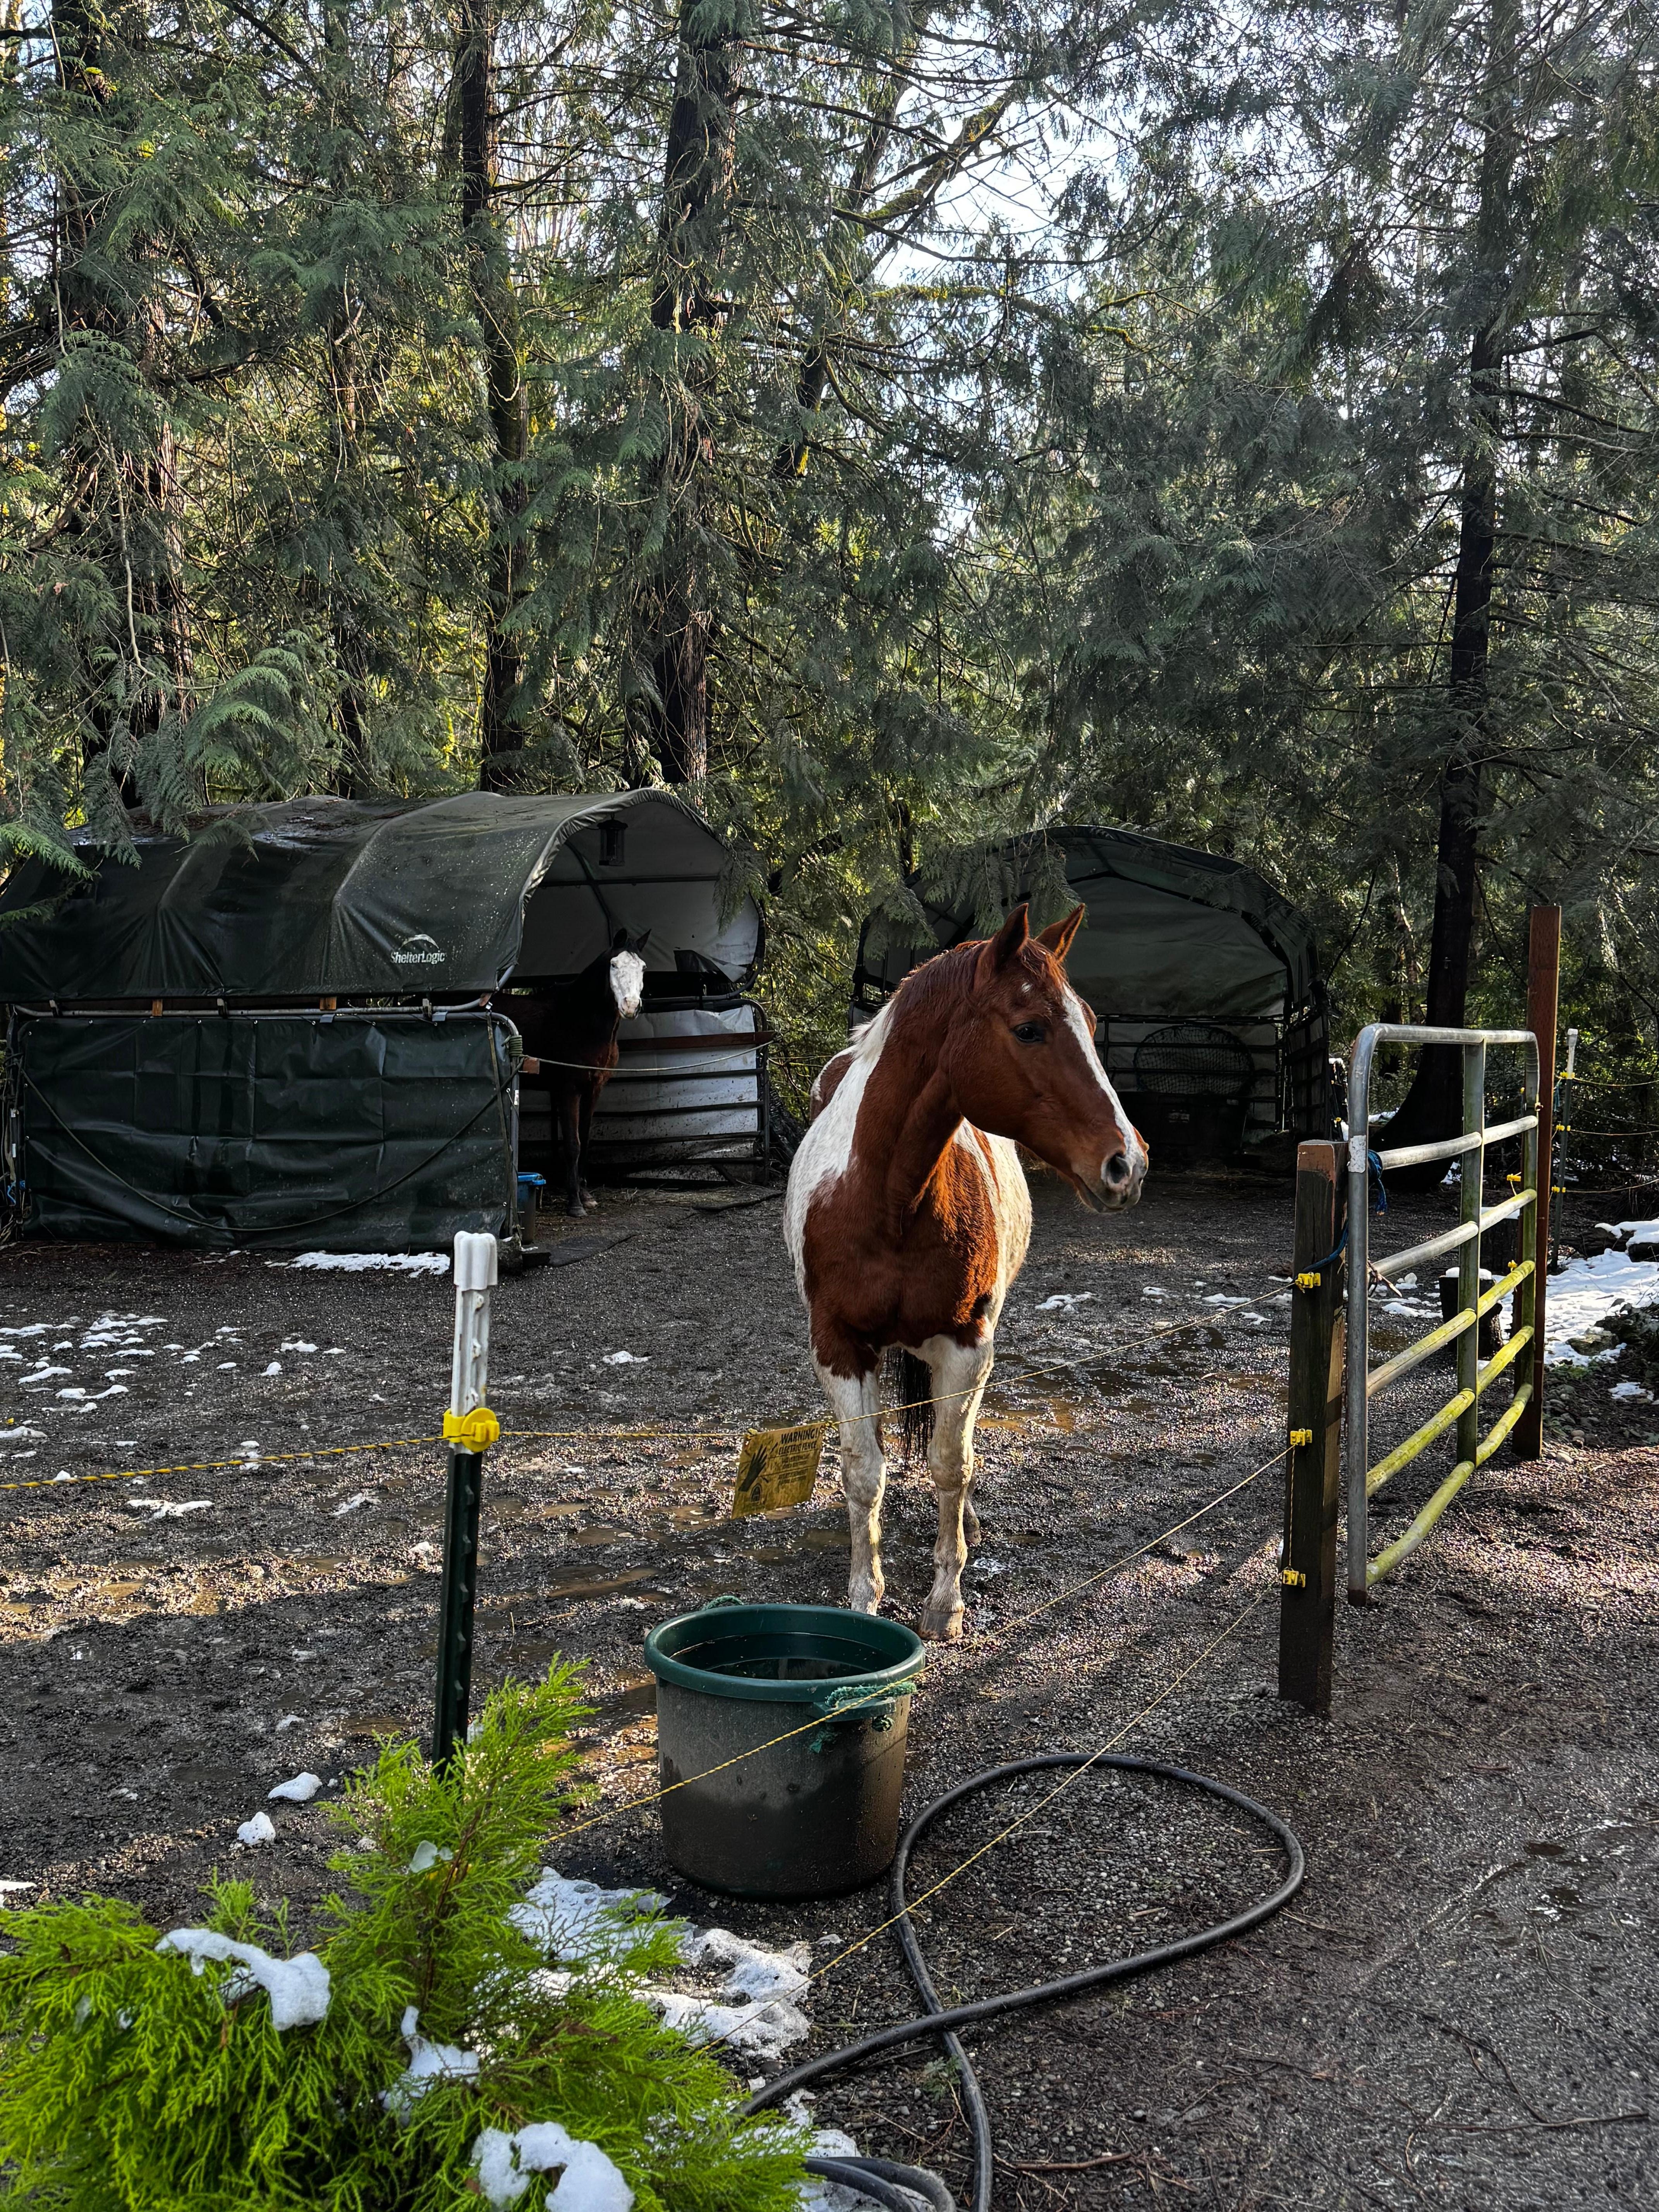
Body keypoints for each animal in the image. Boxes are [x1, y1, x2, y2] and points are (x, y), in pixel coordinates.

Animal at [508, 930, 648, 1217]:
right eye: (614, 965)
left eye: (643, 968)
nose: (631, 1006)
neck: (579, 1019)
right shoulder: (568, 1090)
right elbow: (573, 1144)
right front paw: (574, 1203)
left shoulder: (594, 1089)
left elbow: (586, 1140)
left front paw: (586, 1196)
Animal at [786, 903, 1147, 1640]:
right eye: (1029, 1028)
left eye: (1091, 1024)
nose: (1127, 1163)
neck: (889, 1198)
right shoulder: (838, 1346)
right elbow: (863, 1472)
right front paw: (863, 1595)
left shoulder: (966, 1343)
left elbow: (952, 1463)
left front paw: (945, 1602)